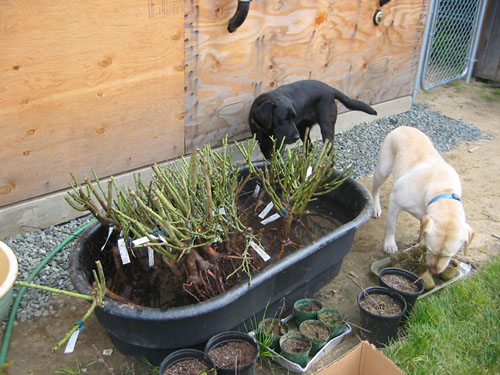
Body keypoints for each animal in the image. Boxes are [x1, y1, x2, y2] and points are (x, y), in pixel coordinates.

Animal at [248, 80, 376, 159]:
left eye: (293, 118)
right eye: (284, 120)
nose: (296, 137)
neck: (266, 130)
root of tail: (330, 88)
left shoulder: (280, 143)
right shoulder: (262, 143)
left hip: (326, 128)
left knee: (329, 151)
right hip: (302, 129)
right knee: (309, 147)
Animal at [372, 126, 472, 274]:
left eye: (449, 255)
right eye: (430, 250)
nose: (433, 271)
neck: (442, 190)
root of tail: (403, 126)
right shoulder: (395, 201)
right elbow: (391, 226)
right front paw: (389, 245)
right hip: (383, 170)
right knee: (375, 190)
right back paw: (375, 207)